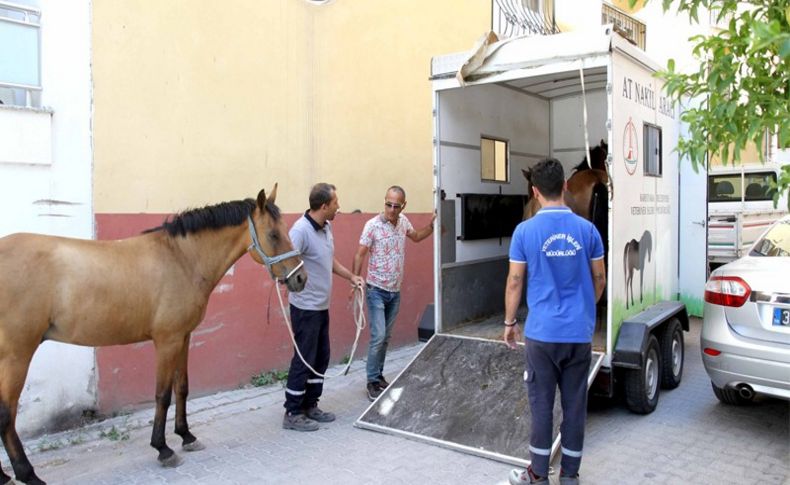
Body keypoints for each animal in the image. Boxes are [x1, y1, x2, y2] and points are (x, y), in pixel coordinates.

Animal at [0, 183, 306, 482]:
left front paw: (186, 435)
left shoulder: (184, 337)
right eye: (273, 234)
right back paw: (27, 474)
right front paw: (163, 448)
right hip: (17, 355)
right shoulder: (167, 341)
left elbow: (182, 388)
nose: (300, 278)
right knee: (7, 413)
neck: (182, 259)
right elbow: (162, 395)